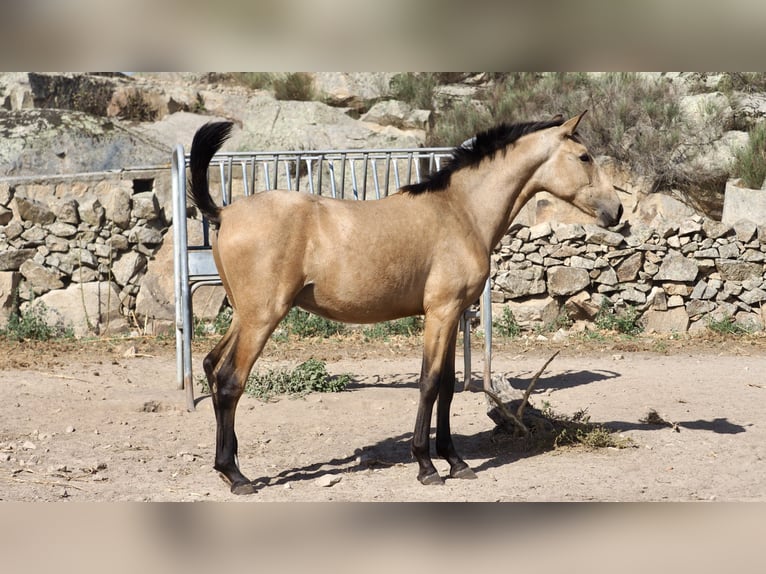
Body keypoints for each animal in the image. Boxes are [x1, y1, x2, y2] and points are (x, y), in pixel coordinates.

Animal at [188, 112, 624, 496]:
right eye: (584, 157)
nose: (616, 210)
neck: (460, 211)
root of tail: (225, 212)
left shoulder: (453, 315)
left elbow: (446, 386)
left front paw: (455, 461)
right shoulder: (440, 313)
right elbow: (428, 384)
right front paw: (426, 466)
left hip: (244, 316)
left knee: (210, 364)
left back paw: (228, 466)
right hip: (262, 319)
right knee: (229, 381)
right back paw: (237, 477)